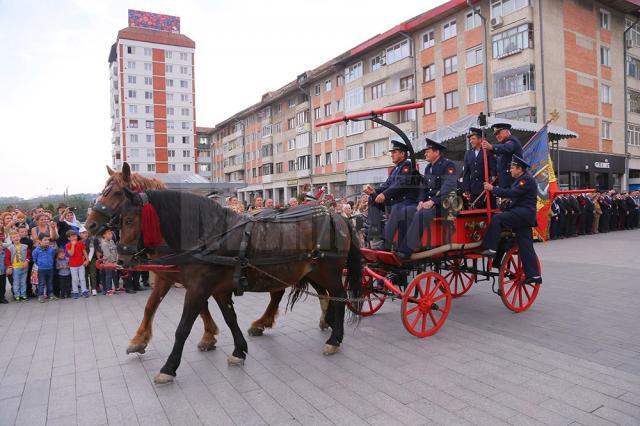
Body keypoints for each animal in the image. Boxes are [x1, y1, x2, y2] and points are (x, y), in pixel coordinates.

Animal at [85, 163, 328, 356]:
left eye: (116, 192)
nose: (90, 224)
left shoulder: (193, 278)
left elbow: (199, 305)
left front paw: (209, 335)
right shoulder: (168, 276)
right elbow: (151, 305)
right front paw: (139, 340)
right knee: (291, 291)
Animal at [117, 188, 362, 384]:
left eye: (128, 220)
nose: (120, 259)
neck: (212, 237)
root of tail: (337, 216)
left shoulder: (198, 289)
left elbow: (183, 328)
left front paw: (168, 368)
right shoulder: (219, 290)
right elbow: (230, 318)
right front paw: (239, 350)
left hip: (329, 272)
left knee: (340, 297)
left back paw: (335, 338)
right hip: (313, 272)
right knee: (326, 296)